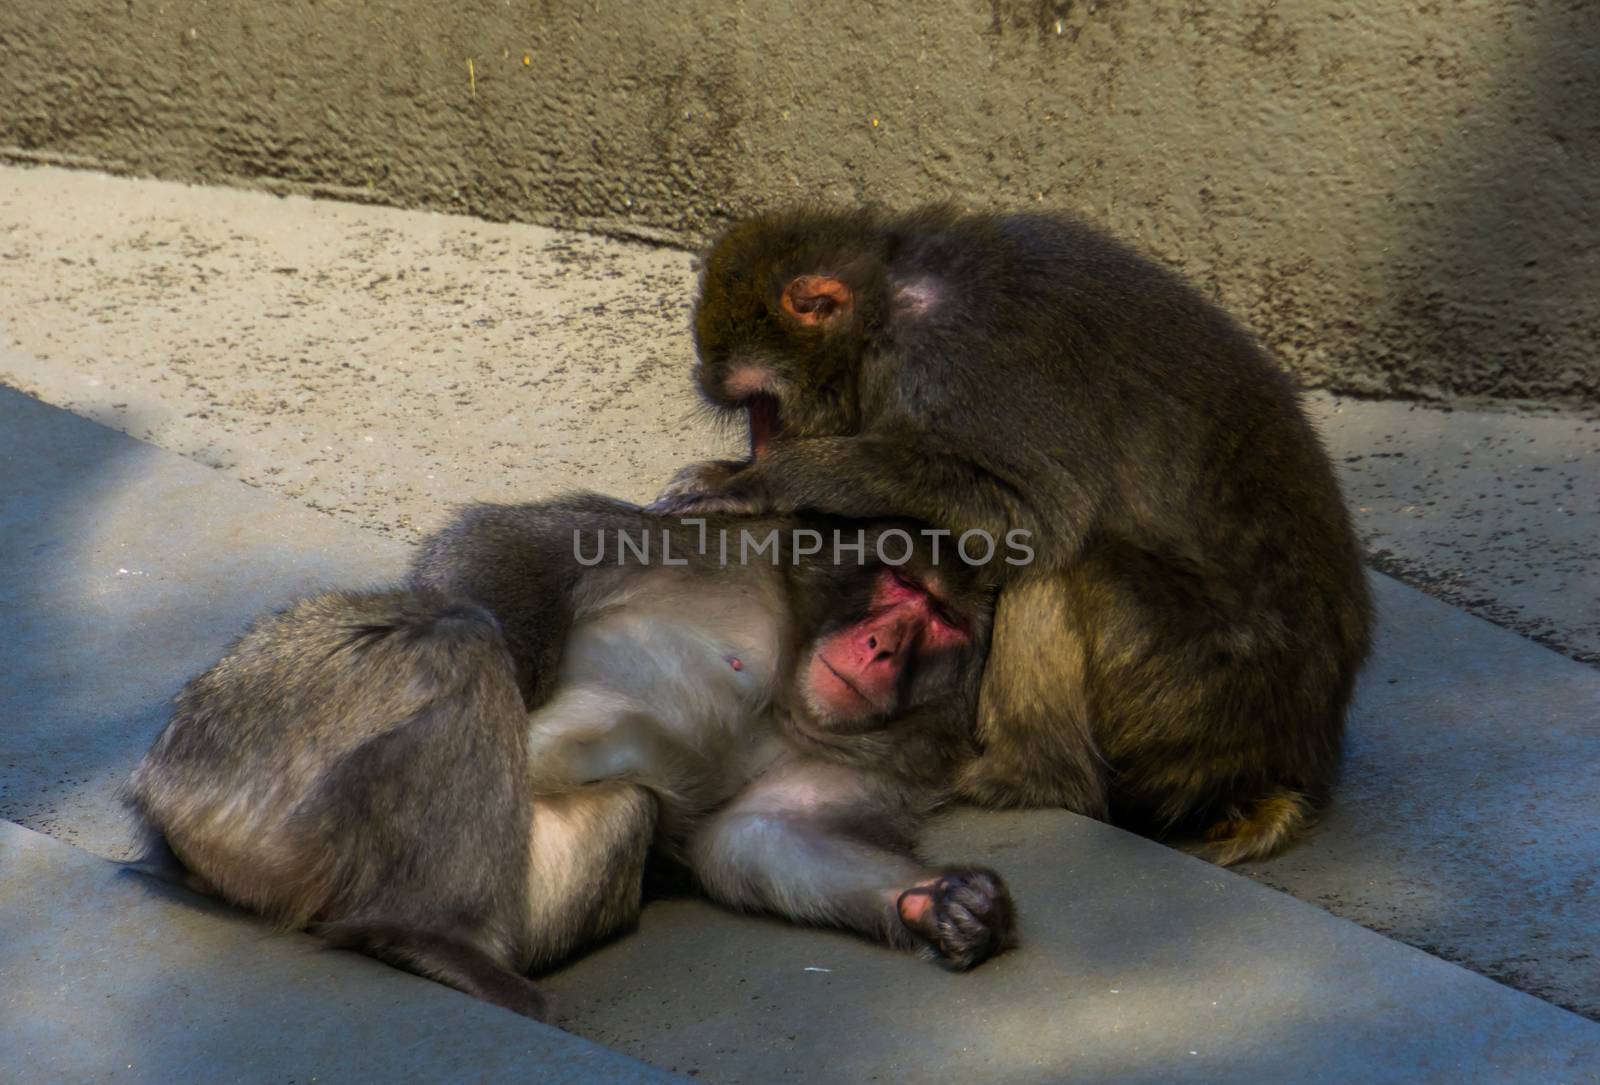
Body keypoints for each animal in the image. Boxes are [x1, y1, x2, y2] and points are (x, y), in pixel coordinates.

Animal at [124, 496, 1004, 1024]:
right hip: (252, 735)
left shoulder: (853, 760)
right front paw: (525, 662)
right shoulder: (728, 553)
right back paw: (426, 937)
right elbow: (517, 547)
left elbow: (756, 839)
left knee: (629, 803)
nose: (881, 645)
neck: (788, 682)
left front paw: (946, 903)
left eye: (941, 620)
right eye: (899, 586)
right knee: (455, 635)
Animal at [656, 206, 1369, 864]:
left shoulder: (951, 364)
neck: (887, 301)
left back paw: (1022, 776)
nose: (763, 444)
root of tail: (1293, 756)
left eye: (761, 404)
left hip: (1191, 697)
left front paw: (772, 479)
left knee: (1060, 566)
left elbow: (1033, 514)